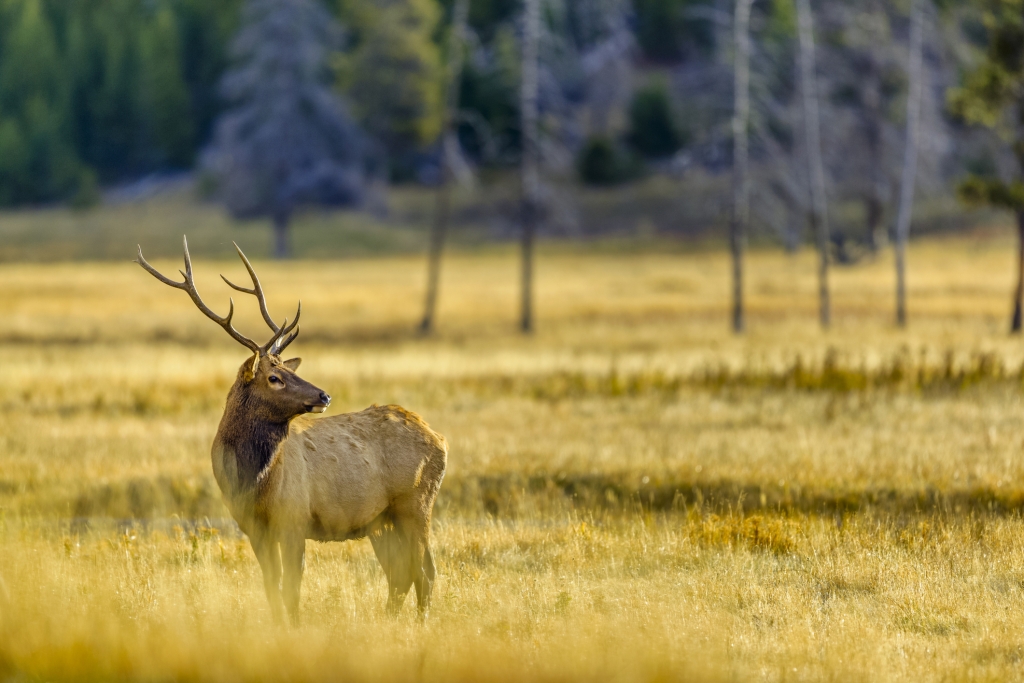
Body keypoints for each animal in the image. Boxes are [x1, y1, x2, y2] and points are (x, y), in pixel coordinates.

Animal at [134, 236, 446, 626]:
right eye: (274, 377)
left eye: (286, 369)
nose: (324, 395)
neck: (253, 483)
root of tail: (439, 440)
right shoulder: (253, 527)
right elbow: (272, 585)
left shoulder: (294, 519)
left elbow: (291, 587)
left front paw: (294, 628)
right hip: (382, 519)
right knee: (401, 574)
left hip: (415, 503)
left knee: (425, 571)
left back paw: (420, 625)